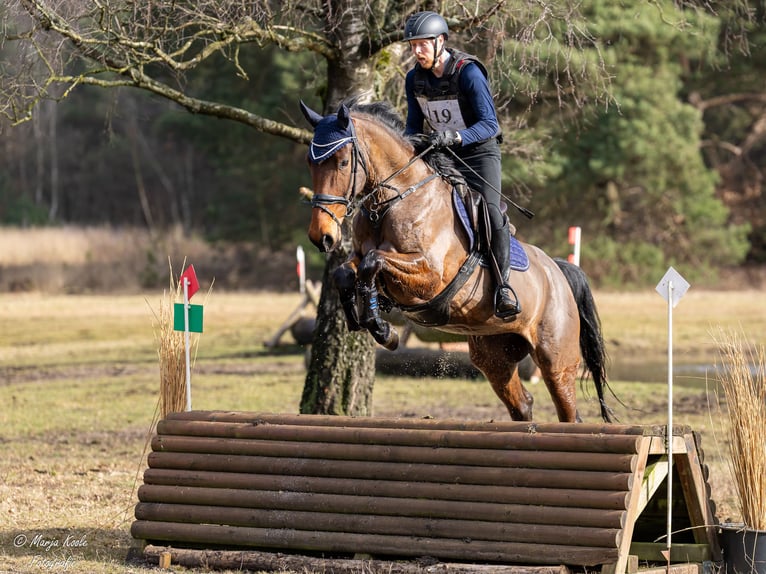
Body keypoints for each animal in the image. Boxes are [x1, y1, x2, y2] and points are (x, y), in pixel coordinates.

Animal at [304, 100, 616, 424]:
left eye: (342, 162)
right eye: (310, 163)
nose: (321, 236)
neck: (394, 201)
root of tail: (557, 270)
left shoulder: (430, 274)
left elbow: (373, 262)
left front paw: (382, 329)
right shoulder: (363, 259)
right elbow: (345, 272)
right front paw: (360, 318)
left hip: (556, 359)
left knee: (568, 410)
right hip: (494, 356)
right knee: (522, 403)